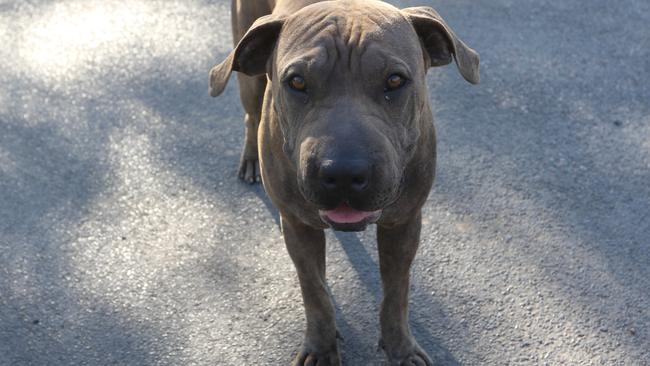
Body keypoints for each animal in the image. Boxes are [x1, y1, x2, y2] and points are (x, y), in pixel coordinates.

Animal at [208, 0, 476, 364]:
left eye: (395, 80)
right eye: (297, 82)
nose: (344, 173)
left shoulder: (404, 223)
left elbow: (397, 291)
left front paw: (400, 347)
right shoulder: (298, 226)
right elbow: (315, 291)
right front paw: (321, 347)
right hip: (246, 74)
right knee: (250, 113)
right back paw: (250, 157)